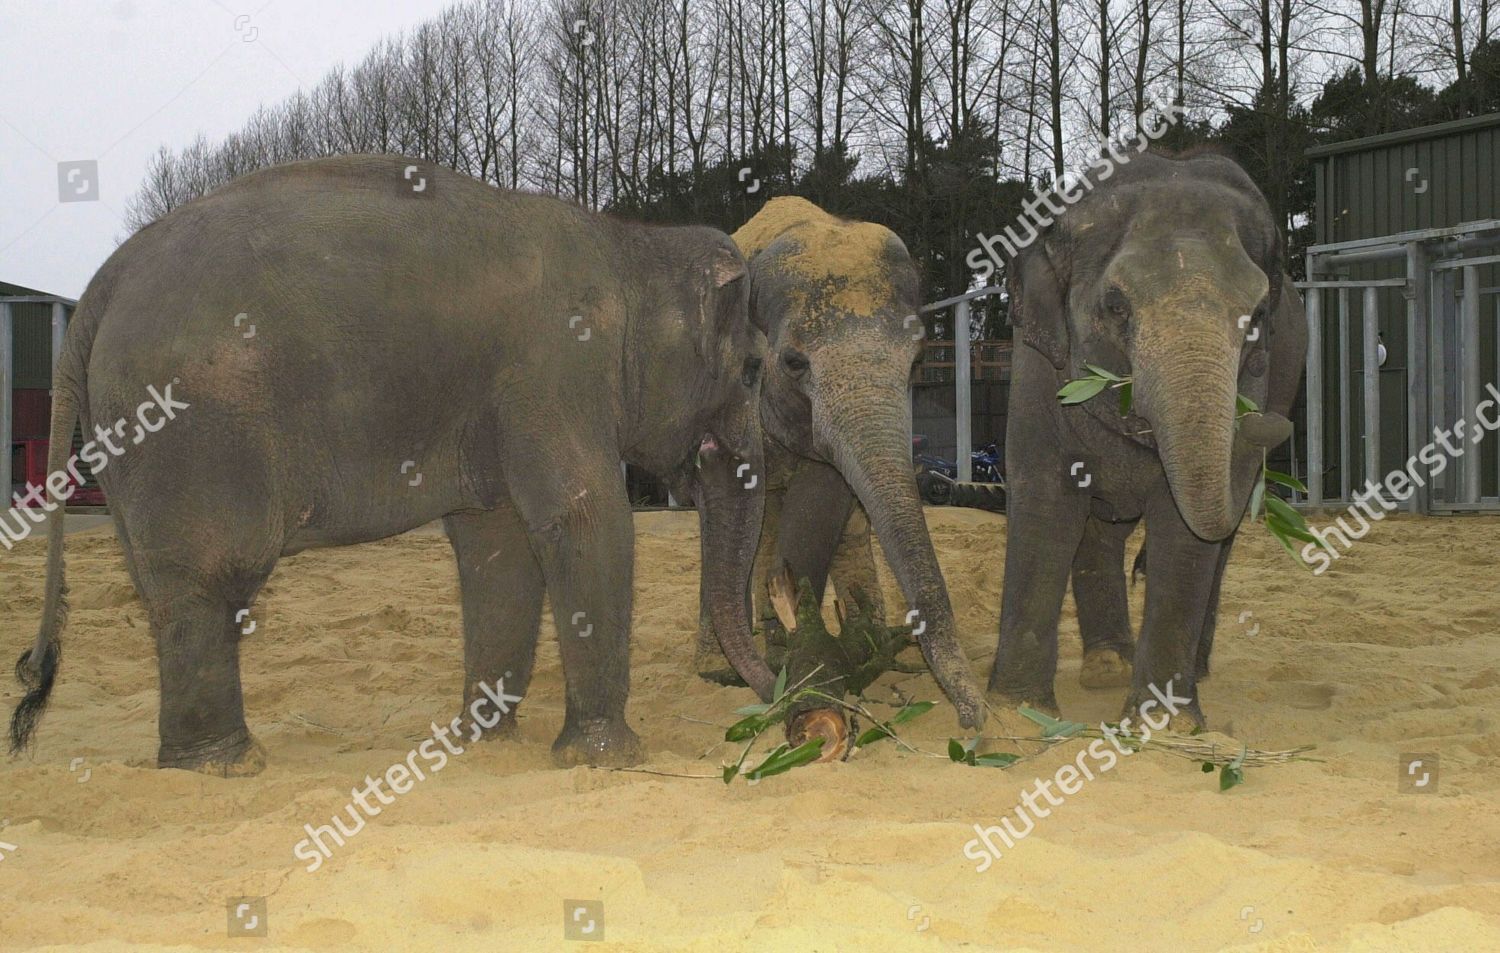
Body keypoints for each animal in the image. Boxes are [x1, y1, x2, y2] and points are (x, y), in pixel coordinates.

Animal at [5, 150, 768, 774]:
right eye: (754, 369)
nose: (774, 698)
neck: (630, 243)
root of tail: (97, 290)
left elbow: (499, 545)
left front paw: (482, 743)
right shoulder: (555, 366)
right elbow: (584, 516)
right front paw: (608, 760)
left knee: (165, 587)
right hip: (189, 424)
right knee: (213, 576)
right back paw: (228, 767)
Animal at [687, 195, 984, 729]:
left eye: (918, 360)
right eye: (793, 363)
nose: (973, 721)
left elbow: (824, 499)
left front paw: (811, 648)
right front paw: (781, 658)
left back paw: (865, 631)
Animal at [984, 150, 1302, 729]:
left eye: (1259, 318)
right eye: (1116, 306)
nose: (1264, 420)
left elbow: (1183, 528)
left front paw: (1165, 725)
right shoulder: (1036, 364)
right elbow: (1045, 493)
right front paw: (1015, 712)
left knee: (1217, 548)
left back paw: (1185, 671)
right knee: (1099, 529)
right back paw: (1106, 667)